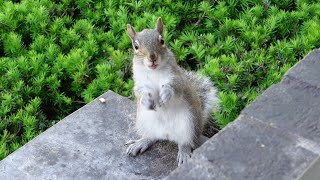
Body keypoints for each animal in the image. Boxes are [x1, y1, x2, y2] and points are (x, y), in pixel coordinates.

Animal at [125, 17, 220, 166]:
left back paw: (184, 153)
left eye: (162, 41)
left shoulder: (177, 77)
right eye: (136, 46)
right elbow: (139, 92)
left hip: (189, 124)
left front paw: (166, 95)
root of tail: (167, 134)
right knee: (153, 137)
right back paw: (141, 142)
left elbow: (176, 87)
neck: (154, 71)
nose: (152, 57)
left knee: (186, 142)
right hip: (144, 121)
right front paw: (146, 100)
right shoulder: (139, 82)